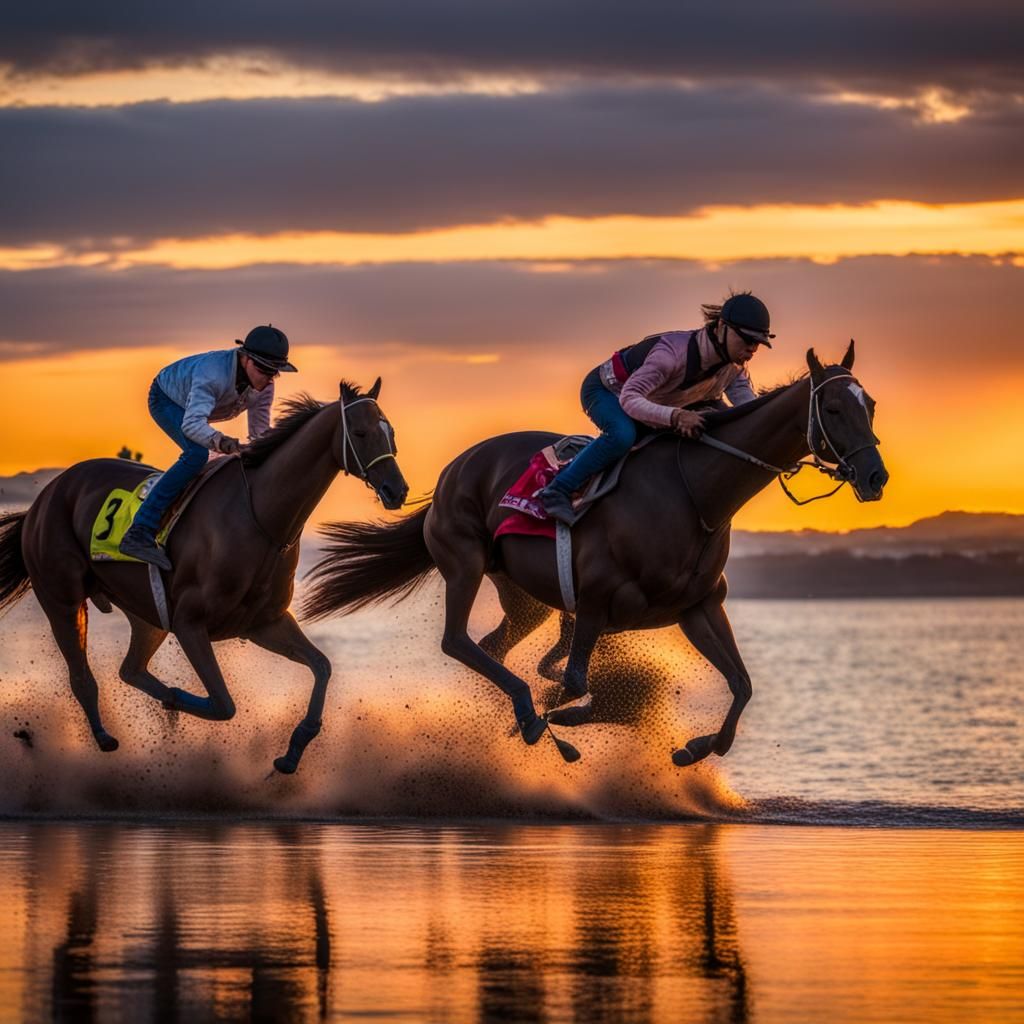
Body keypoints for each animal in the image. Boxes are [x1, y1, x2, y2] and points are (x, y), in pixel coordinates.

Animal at [0, 379, 408, 774]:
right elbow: (223, 703)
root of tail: (43, 499)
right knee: (82, 676)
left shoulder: (264, 622)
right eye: (359, 432)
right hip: (63, 601)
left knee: (130, 669)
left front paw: (292, 751)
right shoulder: (190, 623)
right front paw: (177, 703)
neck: (261, 518)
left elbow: (322, 667)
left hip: (147, 614)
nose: (397, 490)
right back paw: (105, 736)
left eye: (390, 431)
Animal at [300, 344, 887, 767]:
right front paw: (552, 723)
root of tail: (451, 472)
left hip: (523, 596)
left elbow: (741, 684)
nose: (876, 477)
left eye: (872, 405)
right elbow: (576, 683)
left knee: (491, 647)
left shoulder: (696, 608)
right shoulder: (597, 601)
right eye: (833, 407)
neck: (693, 492)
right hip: (464, 562)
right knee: (457, 641)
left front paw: (692, 748)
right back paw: (529, 719)